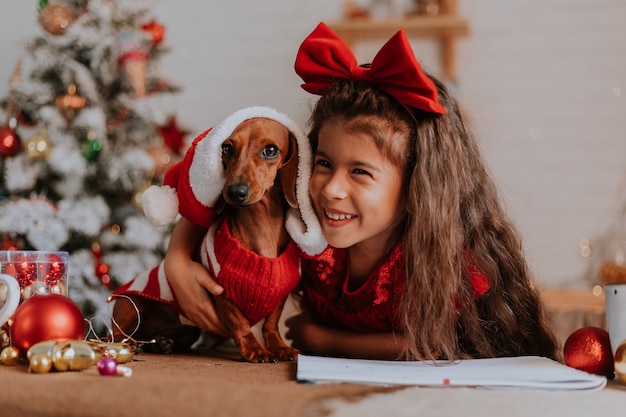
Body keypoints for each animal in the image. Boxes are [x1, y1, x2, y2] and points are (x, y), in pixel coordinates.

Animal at [111, 116, 304, 360]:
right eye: (227, 148)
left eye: (271, 150)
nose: (235, 192)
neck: (262, 228)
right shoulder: (221, 293)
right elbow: (239, 323)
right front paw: (254, 348)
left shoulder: (281, 295)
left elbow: (271, 323)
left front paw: (279, 346)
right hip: (129, 305)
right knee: (114, 334)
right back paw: (130, 344)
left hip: (188, 329)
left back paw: (162, 344)